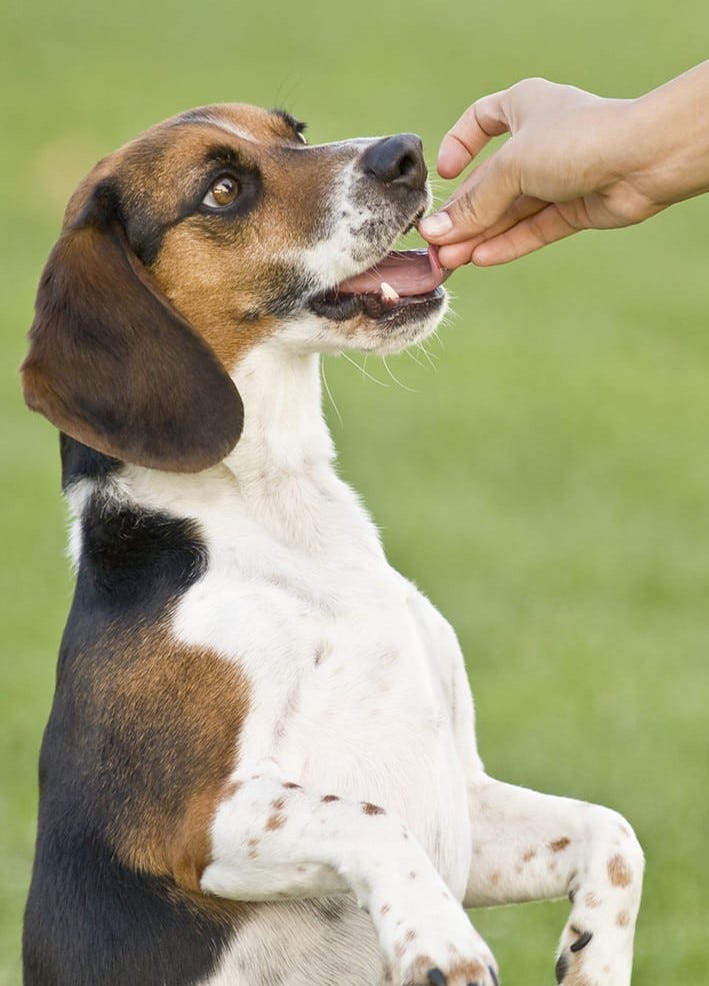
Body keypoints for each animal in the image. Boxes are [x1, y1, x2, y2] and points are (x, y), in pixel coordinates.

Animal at [20, 102, 640, 984]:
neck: (284, 517)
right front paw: (438, 940)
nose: (405, 154)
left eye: (296, 131)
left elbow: (612, 832)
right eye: (222, 190)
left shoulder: (468, 809)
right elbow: (373, 817)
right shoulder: (195, 819)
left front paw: (595, 958)